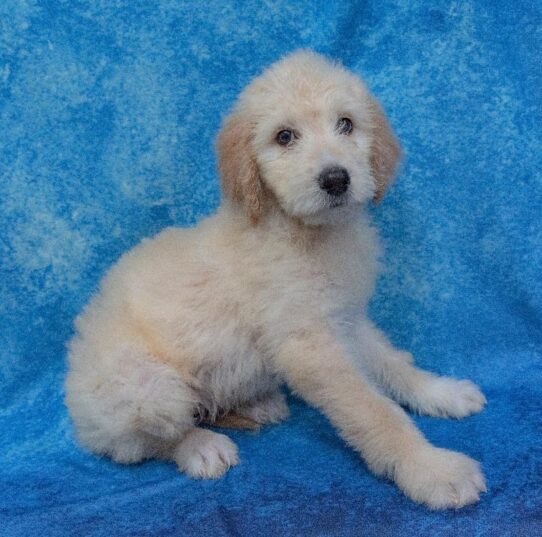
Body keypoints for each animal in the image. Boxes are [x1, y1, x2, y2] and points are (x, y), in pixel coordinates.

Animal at [65, 49, 488, 506]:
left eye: (346, 124)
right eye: (284, 137)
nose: (336, 179)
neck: (305, 232)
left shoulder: (346, 320)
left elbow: (394, 364)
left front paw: (441, 392)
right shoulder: (310, 346)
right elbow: (375, 412)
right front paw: (432, 469)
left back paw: (255, 405)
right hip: (145, 388)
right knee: (143, 441)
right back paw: (200, 445)